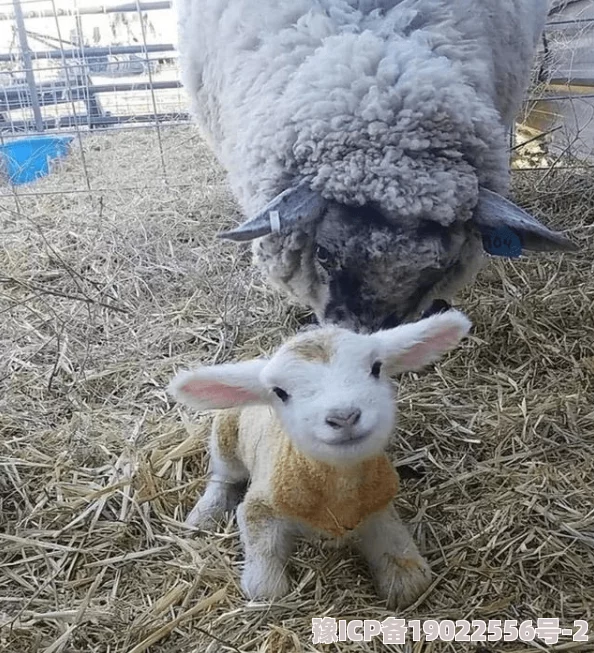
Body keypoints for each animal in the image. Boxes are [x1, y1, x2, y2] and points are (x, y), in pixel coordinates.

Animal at [168, 310, 472, 608]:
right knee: (223, 476)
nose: (344, 417)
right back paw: (204, 515)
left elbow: (408, 572)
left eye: (376, 367)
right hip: (226, 438)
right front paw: (266, 585)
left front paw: (402, 578)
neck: (338, 491)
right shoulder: (260, 506)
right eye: (280, 392)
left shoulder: (378, 504)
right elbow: (265, 585)